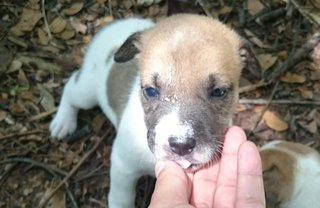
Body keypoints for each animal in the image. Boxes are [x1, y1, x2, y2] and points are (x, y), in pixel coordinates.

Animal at [49, 13, 255, 207]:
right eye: (150, 91)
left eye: (219, 92)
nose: (180, 145)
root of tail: (115, 23)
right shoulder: (123, 166)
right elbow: (121, 198)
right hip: (87, 93)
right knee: (71, 86)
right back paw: (63, 122)